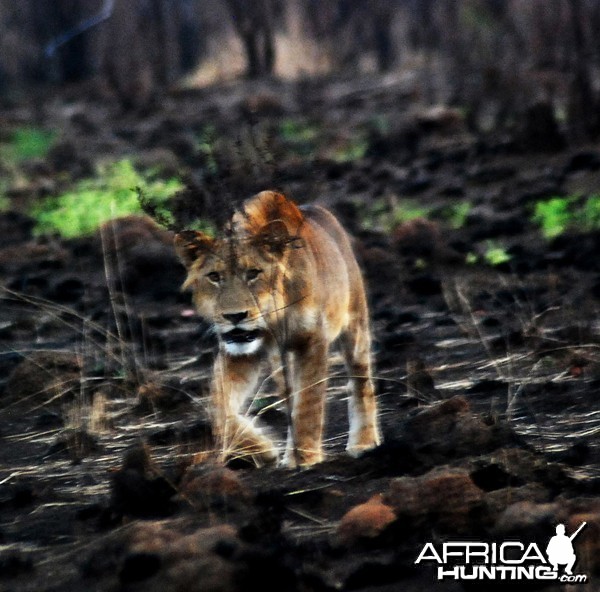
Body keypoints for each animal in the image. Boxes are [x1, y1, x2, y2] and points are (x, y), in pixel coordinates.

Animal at [173, 190, 380, 468]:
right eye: (215, 277)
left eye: (253, 273)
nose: (235, 316)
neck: (274, 319)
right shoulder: (239, 351)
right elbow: (218, 407)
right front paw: (261, 450)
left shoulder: (311, 340)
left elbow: (308, 402)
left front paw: (304, 457)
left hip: (354, 322)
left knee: (360, 381)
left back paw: (364, 442)